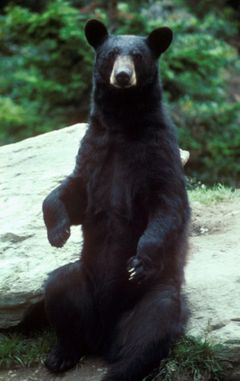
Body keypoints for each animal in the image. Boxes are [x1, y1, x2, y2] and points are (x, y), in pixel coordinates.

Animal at [42, 18, 190, 380]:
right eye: (110, 54)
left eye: (137, 55)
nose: (122, 76)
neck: (123, 123)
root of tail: (104, 339)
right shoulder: (95, 148)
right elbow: (73, 190)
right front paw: (58, 232)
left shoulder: (158, 151)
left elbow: (167, 204)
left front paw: (139, 260)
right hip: (83, 283)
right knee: (59, 288)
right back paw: (62, 354)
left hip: (152, 296)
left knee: (153, 326)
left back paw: (121, 368)